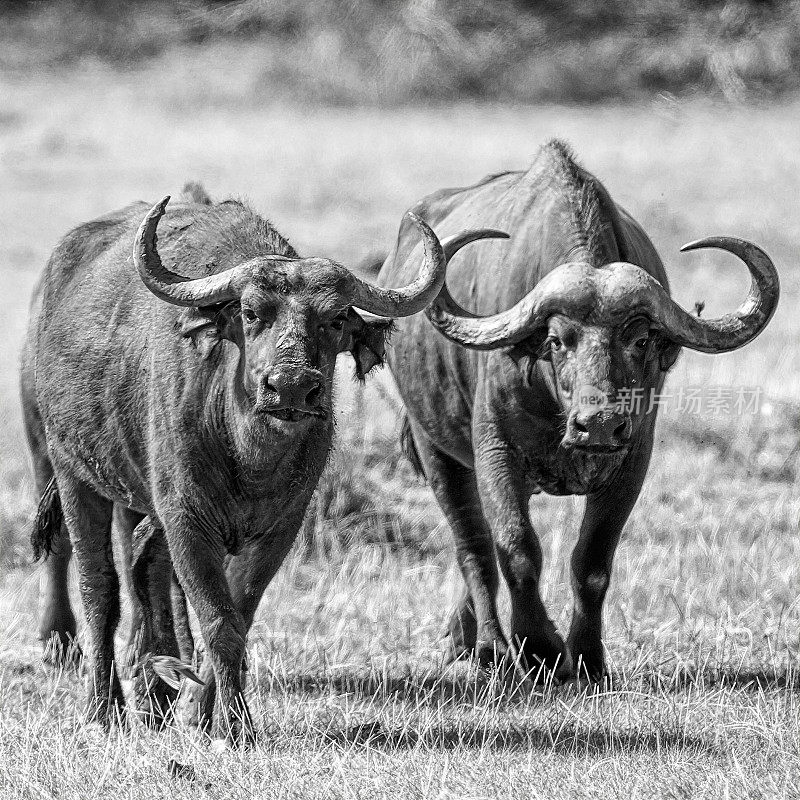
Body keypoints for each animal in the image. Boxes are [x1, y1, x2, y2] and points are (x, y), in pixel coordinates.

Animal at [376, 141, 780, 680]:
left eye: (641, 338)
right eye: (556, 340)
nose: (601, 425)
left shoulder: (632, 460)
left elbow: (592, 561)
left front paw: (587, 658)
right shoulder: (496, 451)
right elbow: (516, 548)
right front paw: (538, 647)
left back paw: (460, 638)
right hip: (435, 447)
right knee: (473, 546)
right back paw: (487, 647)